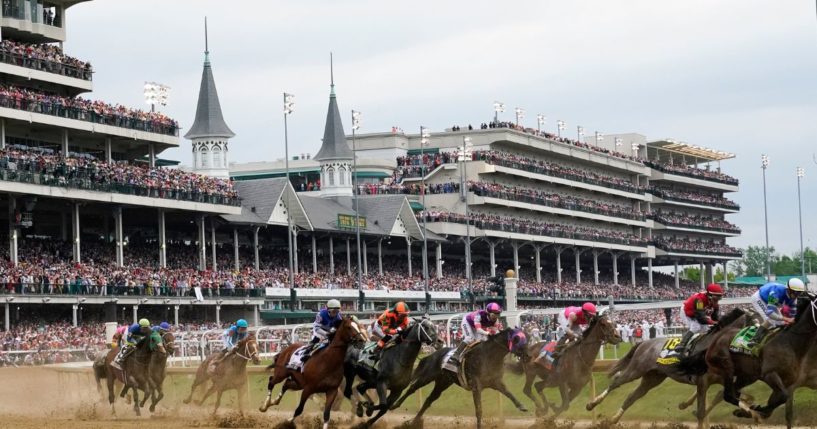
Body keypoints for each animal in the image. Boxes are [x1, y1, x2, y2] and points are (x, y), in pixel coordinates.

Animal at [390, 328, 528, 428]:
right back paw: (395, 405)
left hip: (443, 383)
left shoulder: (496, 382)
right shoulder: (476, 386)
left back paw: (413, 422)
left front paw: (522, 406)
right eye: (518, 340)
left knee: (429, 400)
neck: (489, 356)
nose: (528, 355)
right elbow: (479, 410)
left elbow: (509, 393)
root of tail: (433, 354)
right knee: (412, 388)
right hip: (427, 375)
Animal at [584, 306, 748, 422]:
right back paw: (592, 404)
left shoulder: (721, 379)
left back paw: (613, 419)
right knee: (616, 381)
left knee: (633, 395)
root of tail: (645, 343)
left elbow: (726, 396)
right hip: (636, 369)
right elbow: (703, 408)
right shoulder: (703, 380)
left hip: (654, 377)